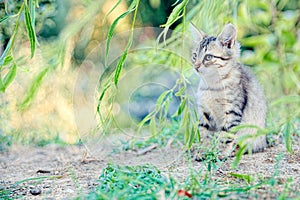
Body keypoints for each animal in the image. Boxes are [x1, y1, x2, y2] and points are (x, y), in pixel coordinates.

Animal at [190, 23, 268, 157]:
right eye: (195, 56)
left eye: (208, 57)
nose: (196, 66)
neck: (212, 85)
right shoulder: (205, 112)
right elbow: (204, 132)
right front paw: (203, 150)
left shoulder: (232, 111)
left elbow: (226, 134)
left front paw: (221, 151)